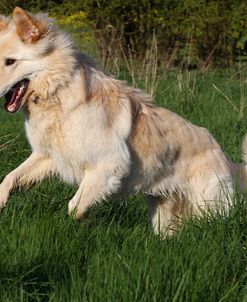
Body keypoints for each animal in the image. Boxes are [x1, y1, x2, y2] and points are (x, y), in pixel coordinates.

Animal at [0, 6, 246, 234]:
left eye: (10, 61)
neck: (59, 91)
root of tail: (223, 155)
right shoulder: (48, 156)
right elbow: (9, 179)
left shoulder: (109, 164)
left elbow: (74, 207)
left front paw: (86, 222)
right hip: (163, 218)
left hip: (207, 210)